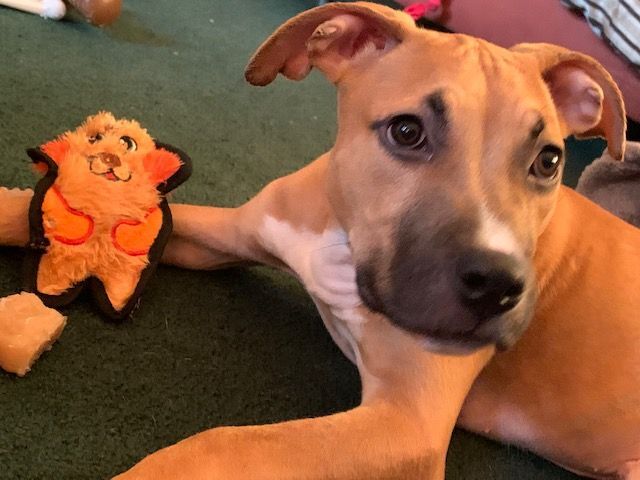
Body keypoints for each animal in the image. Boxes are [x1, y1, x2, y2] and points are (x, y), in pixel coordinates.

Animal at [0, 2, 637, 479]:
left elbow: (221, 444)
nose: (499, 286)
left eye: (549, 160)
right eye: (407, 131)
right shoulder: (227, 233)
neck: (346, 241)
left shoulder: (405, 425)